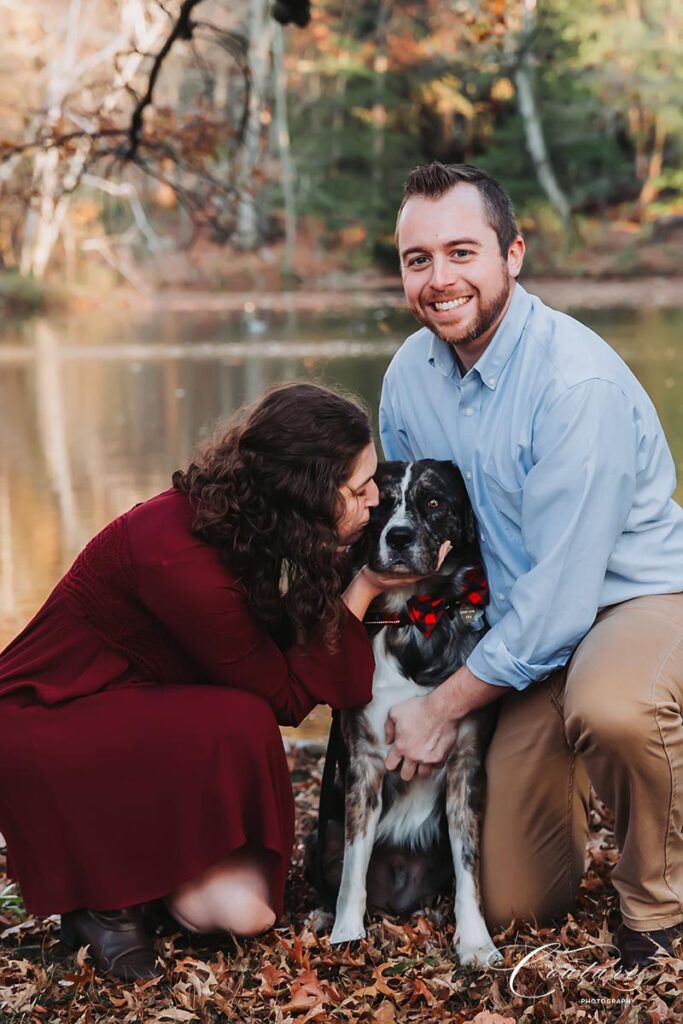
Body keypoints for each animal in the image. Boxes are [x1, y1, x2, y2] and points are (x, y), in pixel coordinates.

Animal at [313, 460, 499, 962]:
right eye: (380, 504)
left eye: (434, 501)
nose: (397, 537)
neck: (414, 617)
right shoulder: (363, 766)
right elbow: (352, 870)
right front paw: (346, 934)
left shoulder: (465, 766)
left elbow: (470, 868)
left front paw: (475, 941)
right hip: (323, 832)